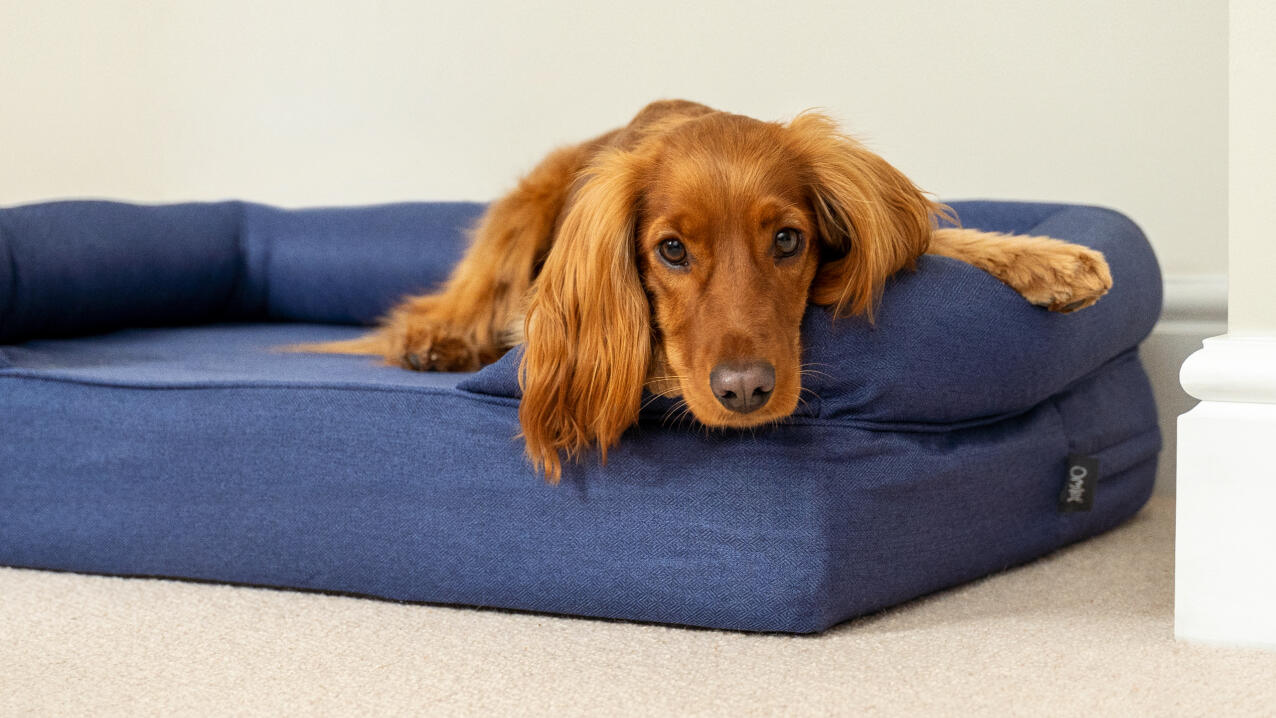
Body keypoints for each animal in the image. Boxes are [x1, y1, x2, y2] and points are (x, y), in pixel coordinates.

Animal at [296, 98, 1107, 479]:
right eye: (672, 250)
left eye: (788, 240)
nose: (745, 391)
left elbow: (933, 237)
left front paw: (1051, 259)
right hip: (523, 209)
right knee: (445, 304)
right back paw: (436, 340)